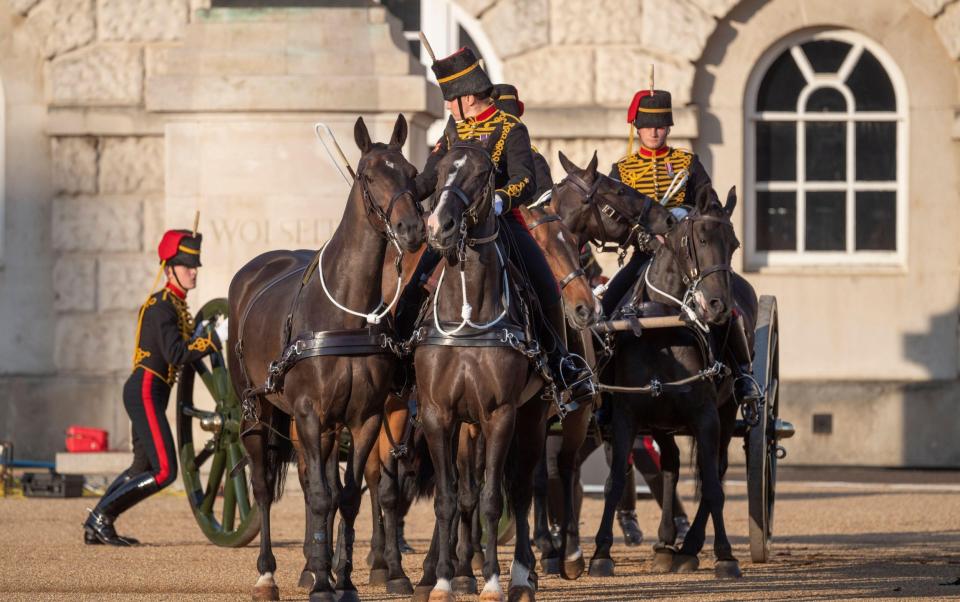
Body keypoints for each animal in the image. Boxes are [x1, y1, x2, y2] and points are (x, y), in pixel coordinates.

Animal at [229, 115, 424, 596]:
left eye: (412, 174)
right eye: (369, 175)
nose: (413, 230)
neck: (346, 312)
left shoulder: (364, 417)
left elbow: (348, 496)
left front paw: (345, 578)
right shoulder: (309, 412)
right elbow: (320, 496)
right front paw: (322, 580)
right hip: (256, 411)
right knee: (264, 486)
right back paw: (269, 572)